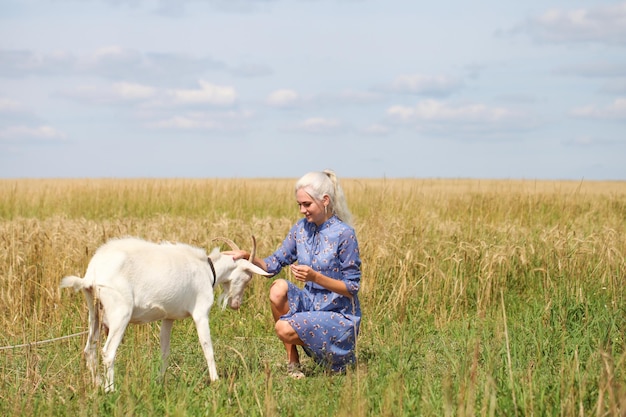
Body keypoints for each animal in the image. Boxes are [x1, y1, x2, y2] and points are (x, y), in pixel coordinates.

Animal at [59, 236, 270, 392]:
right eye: (248, 276)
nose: (236, 304)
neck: (208, 270)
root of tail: (92, 274)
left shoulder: (168, 317)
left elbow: (164, 351)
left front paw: (161, 381)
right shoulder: (201, 313)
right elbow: (207, 347)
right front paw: (216, 380)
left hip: (94, 312)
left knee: (90, 349)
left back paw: (98, 383)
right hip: (120, 313)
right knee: (108, 351)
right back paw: (110, 389)